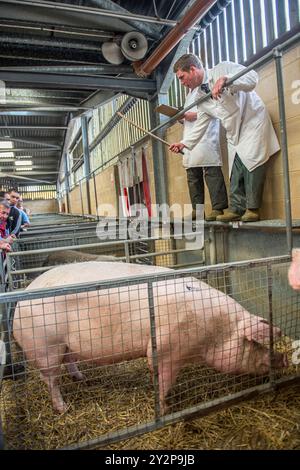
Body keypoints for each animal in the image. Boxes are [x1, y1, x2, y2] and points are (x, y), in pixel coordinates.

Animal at [12, 262, 288, 414]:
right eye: (254, 342)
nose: (284, 359)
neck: (215, 331)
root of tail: (19, 301)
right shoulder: (165, 350)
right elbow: (163, 381)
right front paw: (165, 409)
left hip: (64, 345)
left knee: (69, 362)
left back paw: (82, 378)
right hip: (46, 347)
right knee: (50, 380)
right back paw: (64, 408)